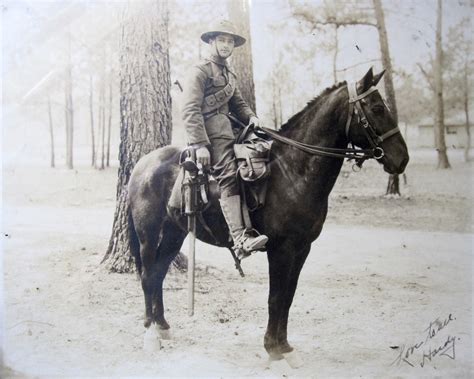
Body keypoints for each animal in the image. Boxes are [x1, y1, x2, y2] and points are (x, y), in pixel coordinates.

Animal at [128, 69, 410, 366]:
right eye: (377, 108)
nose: (402, 158)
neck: (293, 170)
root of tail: (142, 164)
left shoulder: (302, 249)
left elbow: (288, 297)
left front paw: (284, 345)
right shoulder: (281, 249)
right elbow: (275, 298)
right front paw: (272, 348)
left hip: (175, 233)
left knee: (158, 274)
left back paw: (163, 325)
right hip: (148, 235)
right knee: (147, 276)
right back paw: (151, 333)